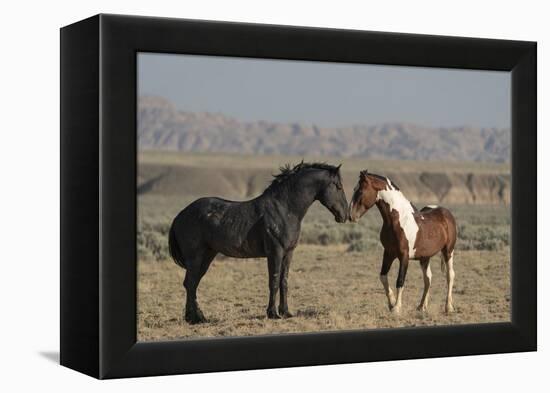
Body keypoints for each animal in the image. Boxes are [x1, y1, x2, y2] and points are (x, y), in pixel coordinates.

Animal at [168, 161, 350, 324]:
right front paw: (273, 313)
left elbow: (284, 282)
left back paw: (196, 318)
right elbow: (274, 281)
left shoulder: (288, 253)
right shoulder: (275, 252)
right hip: (195, 257)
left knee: (192, 284)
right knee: (190, 283)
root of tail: (180, 215)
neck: (285, 209)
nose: (345, 215)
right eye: (339, 186)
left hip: (207, 255)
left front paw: (286, 312)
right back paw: (195, 318)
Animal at [352, 170, 460, 314]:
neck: (397, 221)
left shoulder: (404, 256)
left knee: (450, 275)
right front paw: (391, 303)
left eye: (361, 191)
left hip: (448, 251)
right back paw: (421, 306)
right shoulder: (388, 253)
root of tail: (446, 213)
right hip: (425, 257)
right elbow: (383, 277)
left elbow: (400, 280)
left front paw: (397, 308)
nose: (351, 216)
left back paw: (448, 307)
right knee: (428, 278)